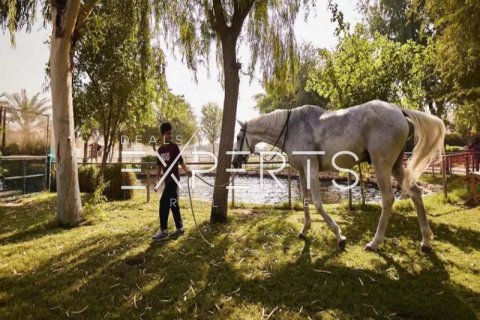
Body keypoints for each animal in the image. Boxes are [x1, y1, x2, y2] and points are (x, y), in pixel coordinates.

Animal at [232, 100, 446, 252]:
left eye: (238, 137)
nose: (235, 162)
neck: (292, 128)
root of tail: (399, 110)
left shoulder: (311, 168)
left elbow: (317, 203)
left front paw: (339, 236)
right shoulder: (302, 171)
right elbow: (305, 200)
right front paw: (304, 230)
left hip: (382, 166)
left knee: (388, 199)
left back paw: (375, 243)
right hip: (395, 166)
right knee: (416, 192)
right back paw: (426, 241)